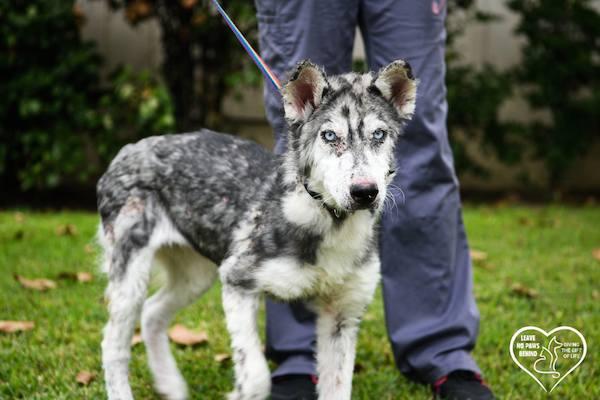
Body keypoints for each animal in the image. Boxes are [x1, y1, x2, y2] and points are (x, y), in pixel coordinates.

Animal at [97, 59, 417, 400]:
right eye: (329, 135)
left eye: (379, 134)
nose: (365, 192)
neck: (331, 223)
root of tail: (129, 149)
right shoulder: (238, 282)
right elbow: (256, 377)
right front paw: (238, 393)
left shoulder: (343, 313)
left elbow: (338, 388)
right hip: (131, 273)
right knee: (113, 344)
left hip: (195, 274)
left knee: (152, 313)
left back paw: (170, 383)